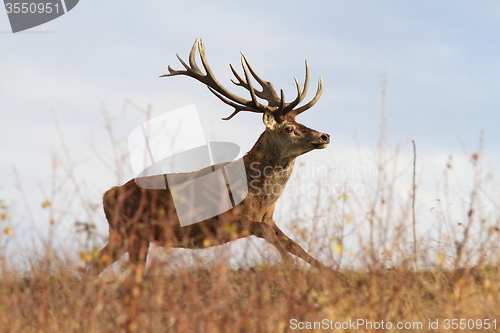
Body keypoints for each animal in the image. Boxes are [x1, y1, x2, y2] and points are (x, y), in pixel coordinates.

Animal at [89, 38, 332, 278]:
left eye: (300, 122)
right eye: (289, 129)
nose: (324, 135)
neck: (259, 197)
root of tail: (109, 195)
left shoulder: (268, 218)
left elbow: (295, 245)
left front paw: (329, 270)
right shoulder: (227, 220)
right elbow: (270, 236)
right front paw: (290, 266)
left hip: (125, 235)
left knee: (93, 266)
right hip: (133, 230)